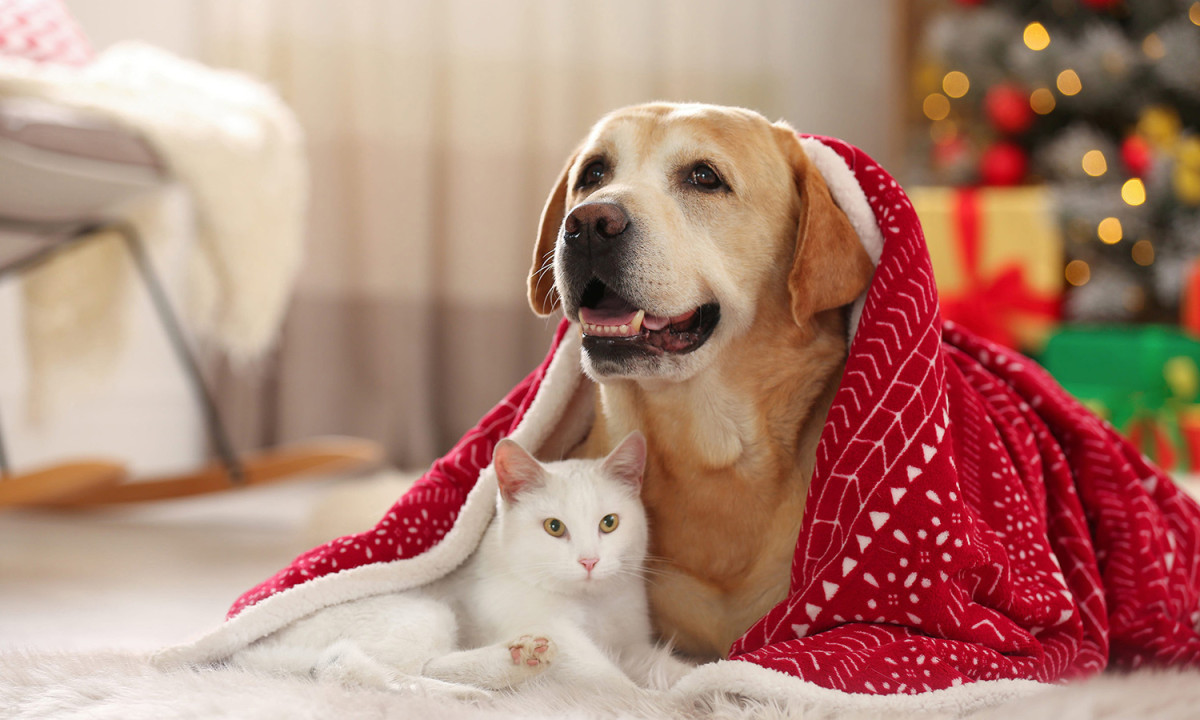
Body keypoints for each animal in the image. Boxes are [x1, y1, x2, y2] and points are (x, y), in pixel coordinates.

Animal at [228, 429, 691, 700]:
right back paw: (470, 688)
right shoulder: (553, 630)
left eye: (609, 523)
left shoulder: (631, 642)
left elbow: (660, 663)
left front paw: (692, 678)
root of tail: (256, 646)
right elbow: (610, 680)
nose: (590, 560)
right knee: (352, 668)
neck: (592, 602)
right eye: (554, 527)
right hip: (422, 611)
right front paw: (660, 701)